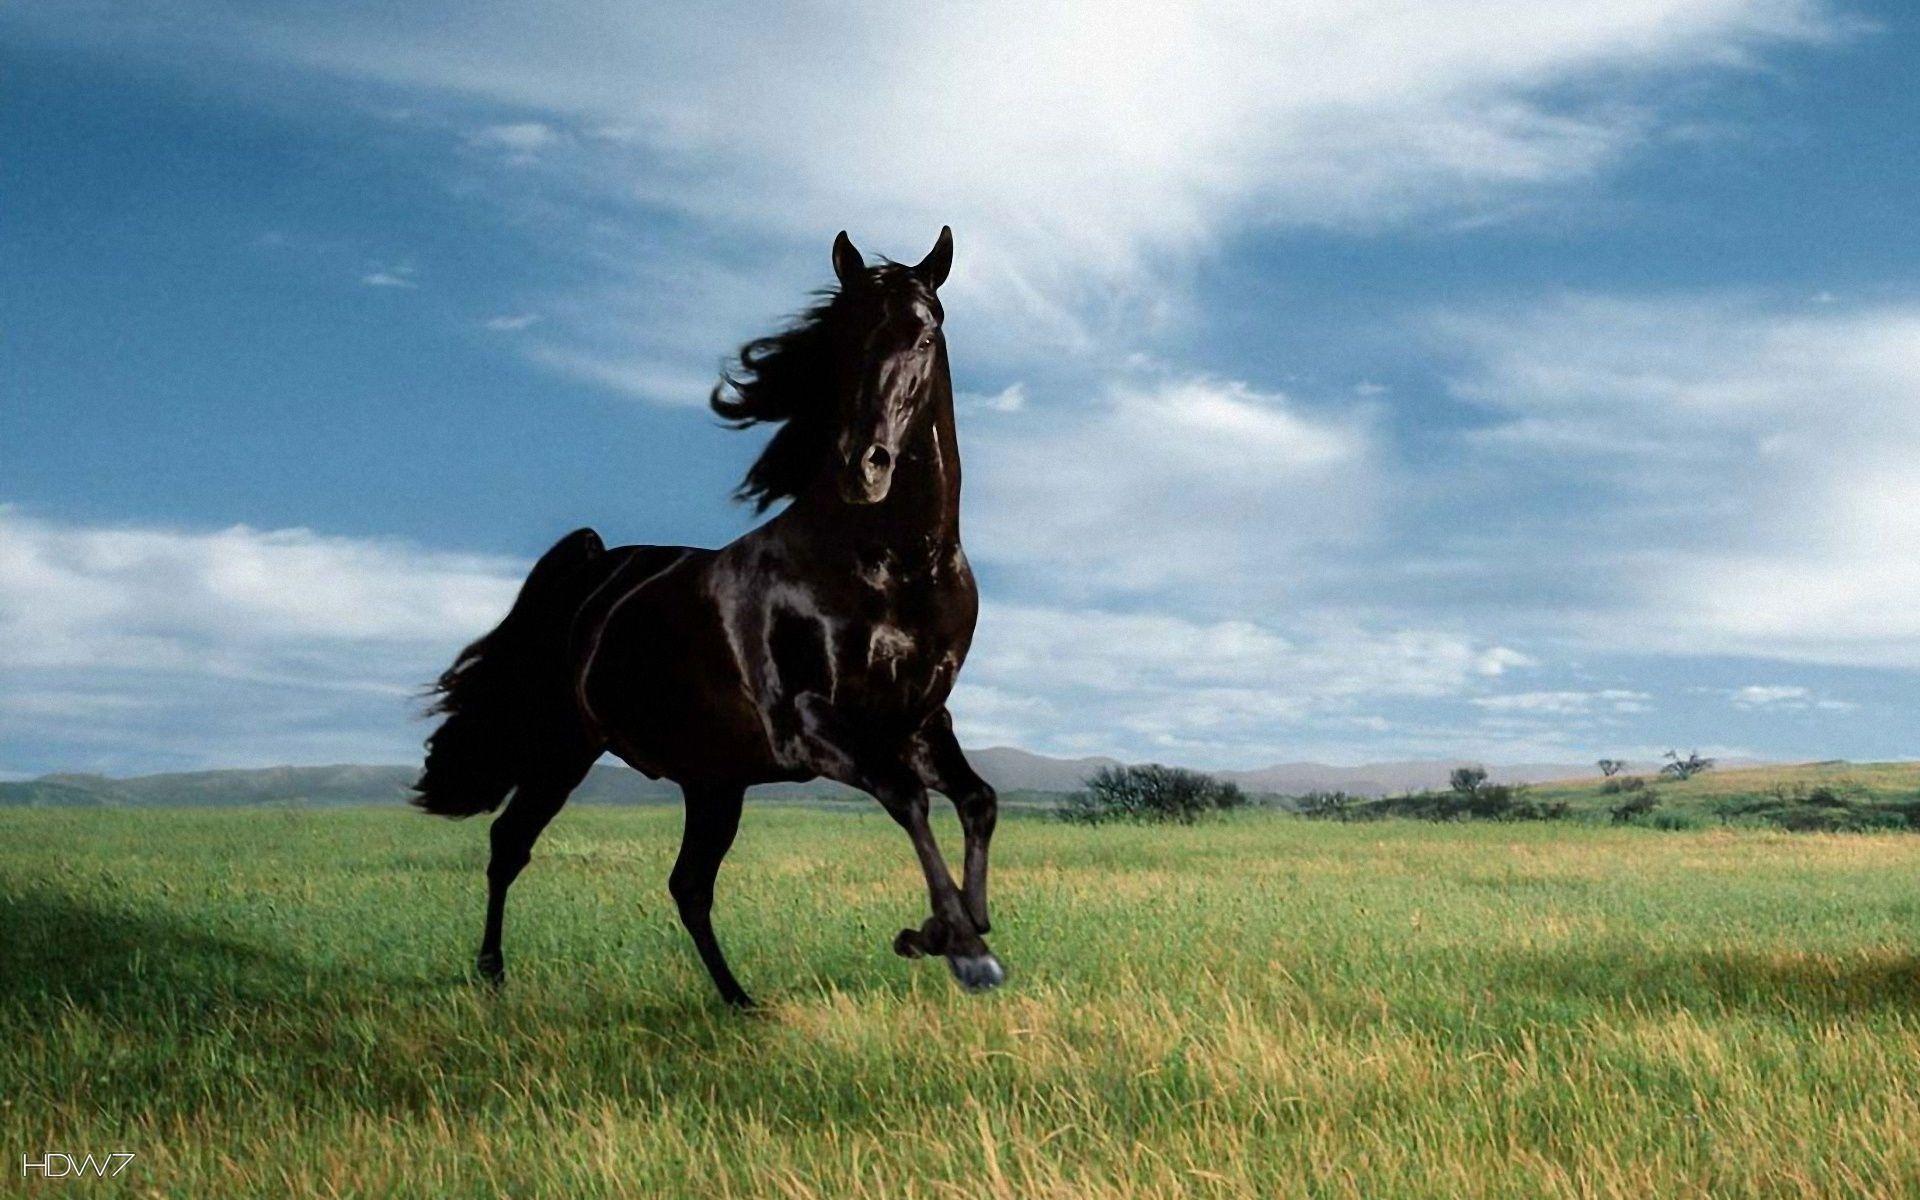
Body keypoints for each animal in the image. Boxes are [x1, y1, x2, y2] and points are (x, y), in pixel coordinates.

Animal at [411, 227, 1003, 1005]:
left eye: (926, 332)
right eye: (840, 340)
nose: (863, 467)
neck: (892, 567)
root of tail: (597, 569)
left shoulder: (920, 722)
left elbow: (978, 800)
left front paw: (957, 927)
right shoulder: (811, 726)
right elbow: (909, 800)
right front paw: (954, 944)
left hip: (712, 780)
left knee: (687, 886)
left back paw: (740, 1001)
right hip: (562, 745)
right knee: (511, 843)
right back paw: (492, 973)